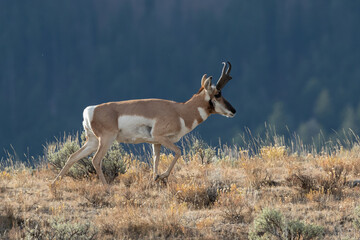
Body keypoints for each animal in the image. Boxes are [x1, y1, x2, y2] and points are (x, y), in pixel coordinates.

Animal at [51, 61, 236, 186]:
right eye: (218, 94)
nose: (234, 111)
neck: (180, 111)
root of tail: (91, 110)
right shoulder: (161, 137)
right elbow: (178, 152)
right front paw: (162, 176)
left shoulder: (156, 142)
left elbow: (156, 160)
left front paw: (155, 179)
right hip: (106, 140)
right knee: (96, 160)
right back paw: (106, 188)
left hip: (92, 141)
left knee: (73, 156)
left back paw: (54, 184)